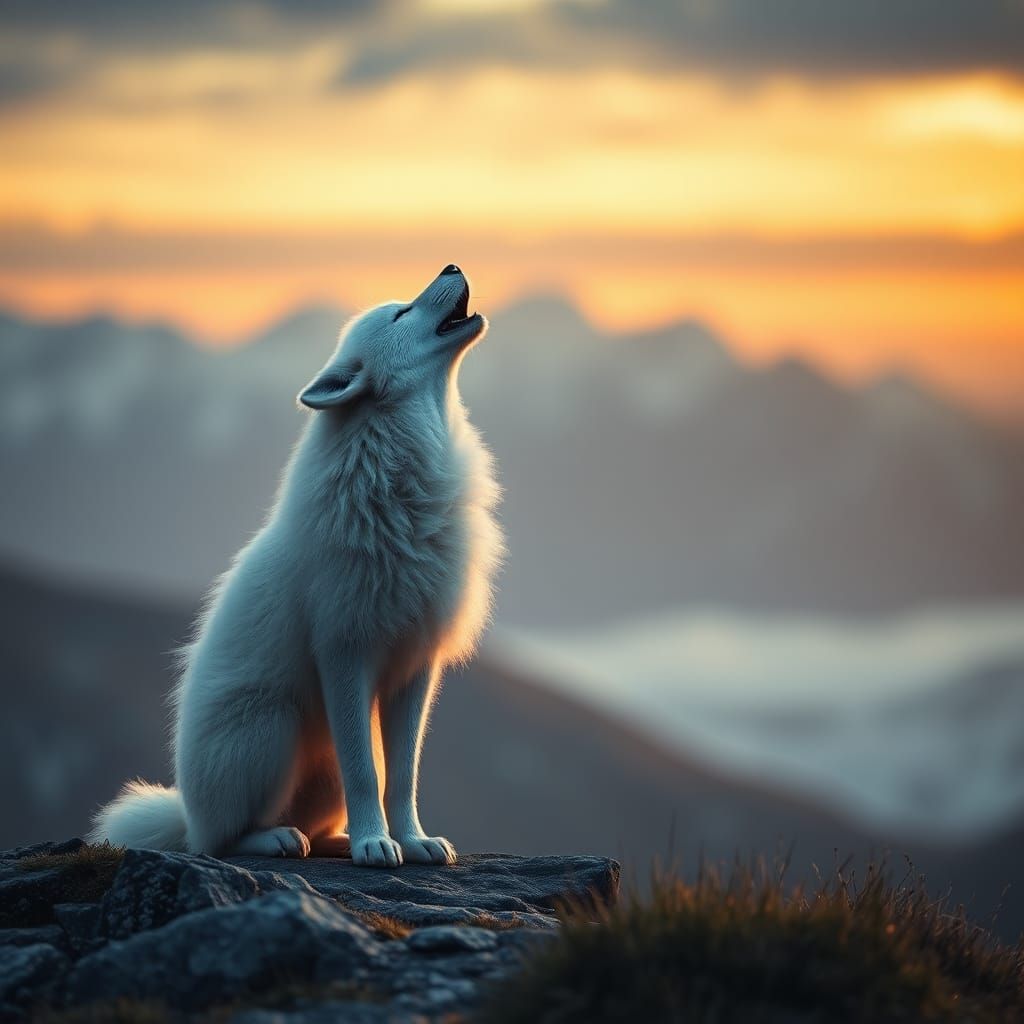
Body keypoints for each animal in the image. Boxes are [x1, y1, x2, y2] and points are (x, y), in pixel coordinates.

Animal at [89, 265, 503, 866]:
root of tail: (187, 810)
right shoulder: (344, 653)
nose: (451, 266)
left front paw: (410, 840)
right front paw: (376, 844)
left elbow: (401, 777)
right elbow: (365, 775)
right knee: (225, 840)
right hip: (273, 730)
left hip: (316, 762)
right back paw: (285, 839)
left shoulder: (415, 669)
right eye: (400, 313)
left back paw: (335, 841)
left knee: (320, 813)